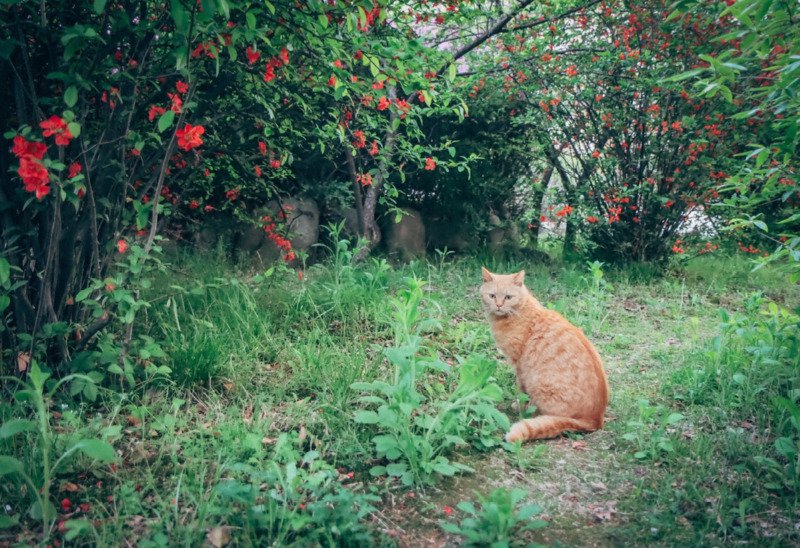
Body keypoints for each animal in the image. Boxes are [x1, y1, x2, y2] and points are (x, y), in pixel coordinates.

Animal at [482, 268, 608, 444]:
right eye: (492, 295)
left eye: (508, 297)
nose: (499, 305)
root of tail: (596, 420)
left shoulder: (519, 366)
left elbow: (521, 393)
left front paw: (520, 408)